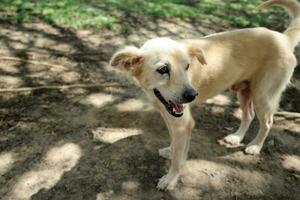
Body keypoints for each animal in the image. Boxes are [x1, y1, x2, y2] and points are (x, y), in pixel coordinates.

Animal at [109, 0, 300, 191]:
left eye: (187, 66)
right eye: (163, 69)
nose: (193, 95)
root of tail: (283, 38)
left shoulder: (183, 122)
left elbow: (177, 159)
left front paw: (171, 178)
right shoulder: (172, 118)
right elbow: (175, 144)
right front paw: (171, 150)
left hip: (263, 96)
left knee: (267, 122)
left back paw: (254, 146)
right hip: (244, 92)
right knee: (249, 115)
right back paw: (236, 138)